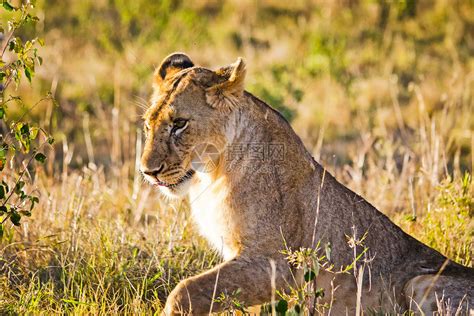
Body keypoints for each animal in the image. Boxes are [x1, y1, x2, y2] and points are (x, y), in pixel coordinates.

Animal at [141, 53, 474, 314]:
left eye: (179, 124)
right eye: (148, 124)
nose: (148, 172)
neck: (211, 174)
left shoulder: (276, 264)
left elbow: (184, 291)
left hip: (420, 283)